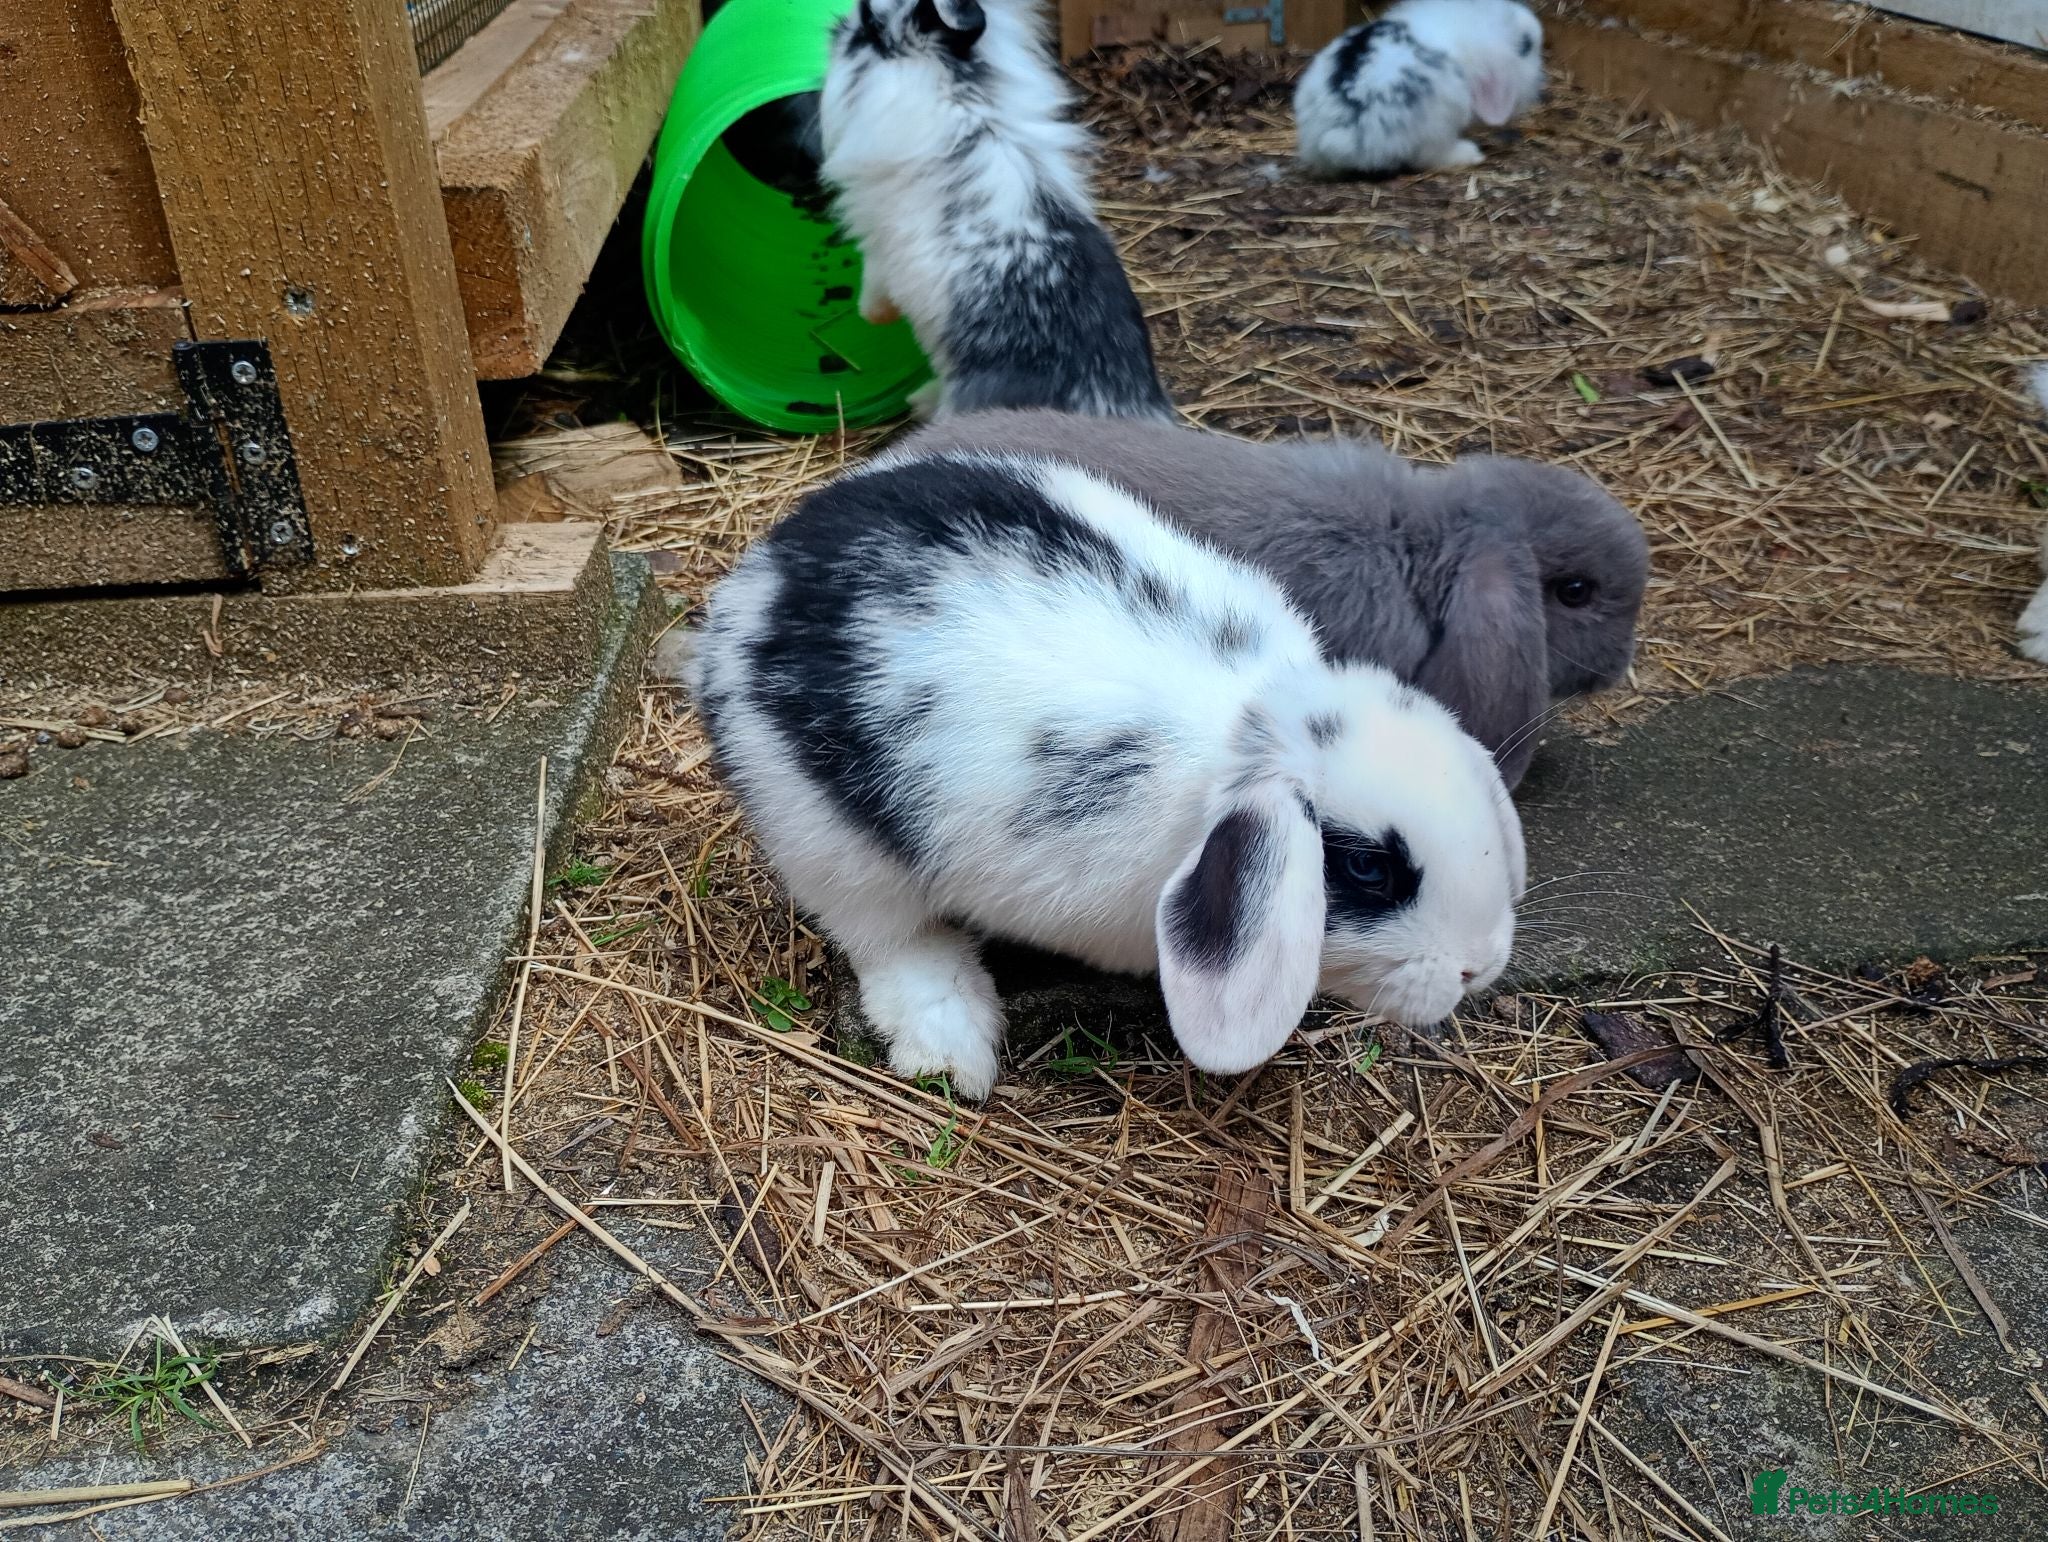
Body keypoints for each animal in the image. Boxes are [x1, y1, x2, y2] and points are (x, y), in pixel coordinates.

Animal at [692, 452, 1525, 1099]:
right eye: (1367, 869)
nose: (1478, 967)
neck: (1241, 733)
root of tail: (754, 586)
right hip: (827, 841)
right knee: (889, 937)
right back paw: (954, 1049)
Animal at [816, 0, 1175, 421]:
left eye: (869, 25)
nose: (835, 28)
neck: (962, 96)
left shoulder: (879, 245)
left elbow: (874, 286)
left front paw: (870, 315)